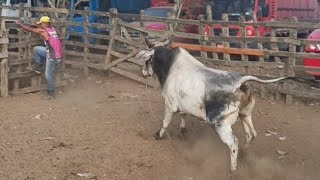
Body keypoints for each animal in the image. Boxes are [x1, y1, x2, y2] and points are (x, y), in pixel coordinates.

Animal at [136, 38, 312, 171]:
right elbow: (183, 115)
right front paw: (183, 131)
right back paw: (243, 155)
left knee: (233, 143)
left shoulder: (170, 104)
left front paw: (158, 135)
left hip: (221, 124)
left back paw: (232, 170)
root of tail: (240, 81)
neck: (171, 66)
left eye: (147, 61)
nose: (143, 73)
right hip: (245, 115)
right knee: (251, 134)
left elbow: (165, 122)